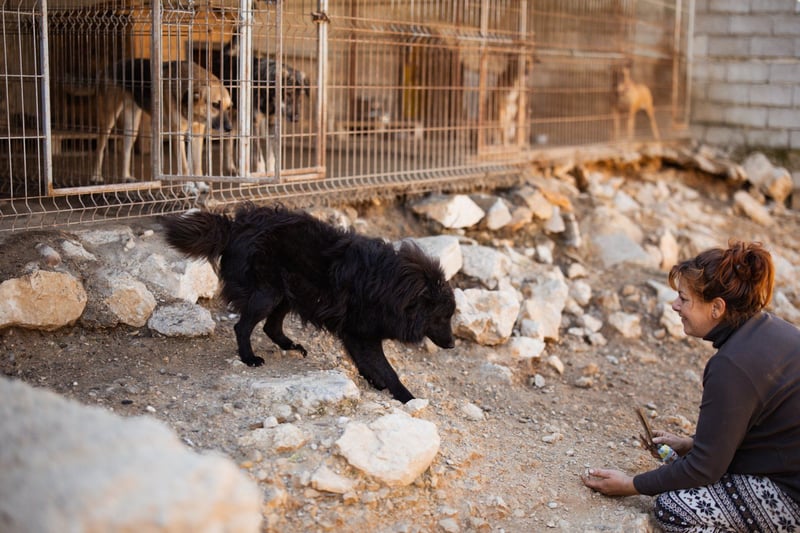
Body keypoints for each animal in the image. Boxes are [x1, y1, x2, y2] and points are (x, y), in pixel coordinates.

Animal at [91, 59, 233, 184]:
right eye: (215, 105)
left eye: (229, 107)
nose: (229, 128)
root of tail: (107, 68)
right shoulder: (177, 135)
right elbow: (185, 167)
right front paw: (189, 186)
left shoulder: (197, 134)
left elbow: (198, 167)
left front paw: (201, 186)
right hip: (108, 120)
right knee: (99, 149)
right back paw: (96, 176)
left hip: (132, 126)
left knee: (126, 150)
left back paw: (126, 176)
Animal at [162, 204, 456, 403]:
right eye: (442, 317)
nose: (453, 345)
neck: (394, 288)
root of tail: (236, 226)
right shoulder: (360, 335)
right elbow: (387, 369)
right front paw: (407, 397)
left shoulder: (358, 337)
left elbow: (369, 365)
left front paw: (377, 383)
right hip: (267, 294)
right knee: (242, 327)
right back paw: (249, 358)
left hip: (288, 295)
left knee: (270, 327)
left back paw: (290, 346)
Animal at [206, 37, 310, 175]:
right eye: (288, 93)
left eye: (300, 96)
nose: (296, 118)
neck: (269, 99)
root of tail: (224, 56)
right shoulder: (253, 124)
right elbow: (259, 155)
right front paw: (261, 172)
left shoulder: (272, 124)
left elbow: (271, 155)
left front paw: (271, 171)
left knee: (229, 140)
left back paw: (232, 167)